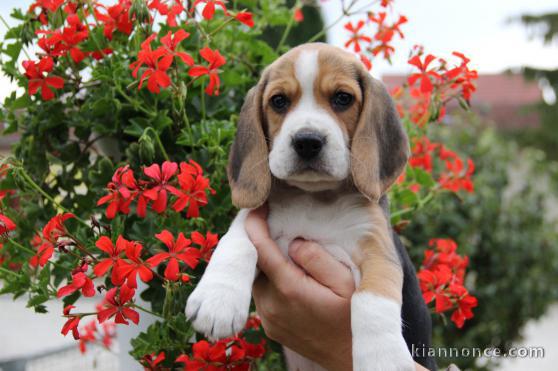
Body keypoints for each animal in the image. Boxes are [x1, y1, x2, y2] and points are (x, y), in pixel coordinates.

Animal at [186, 44, 436, 371]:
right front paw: (218, 299)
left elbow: (371, 298)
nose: (307, 141)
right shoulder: (256, 221)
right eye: (278, 101)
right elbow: (237, 239)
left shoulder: (377, 249)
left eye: (342, 98)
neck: (314, 198)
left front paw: (384, 360)